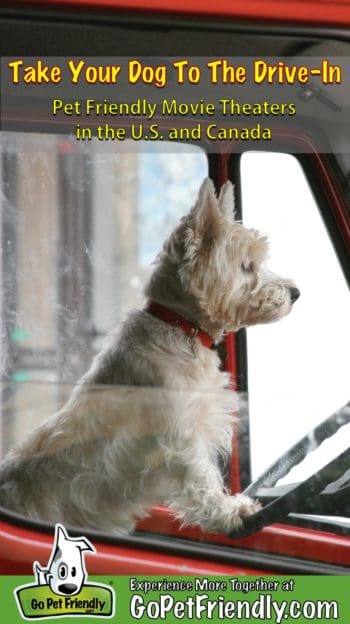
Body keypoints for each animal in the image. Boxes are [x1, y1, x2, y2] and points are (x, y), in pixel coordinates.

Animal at [0, 178, 300, 532]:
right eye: (245, 266)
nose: (295, 293)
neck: (180, 325)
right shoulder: (180, 436)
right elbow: (202, 476)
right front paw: (230, 511)